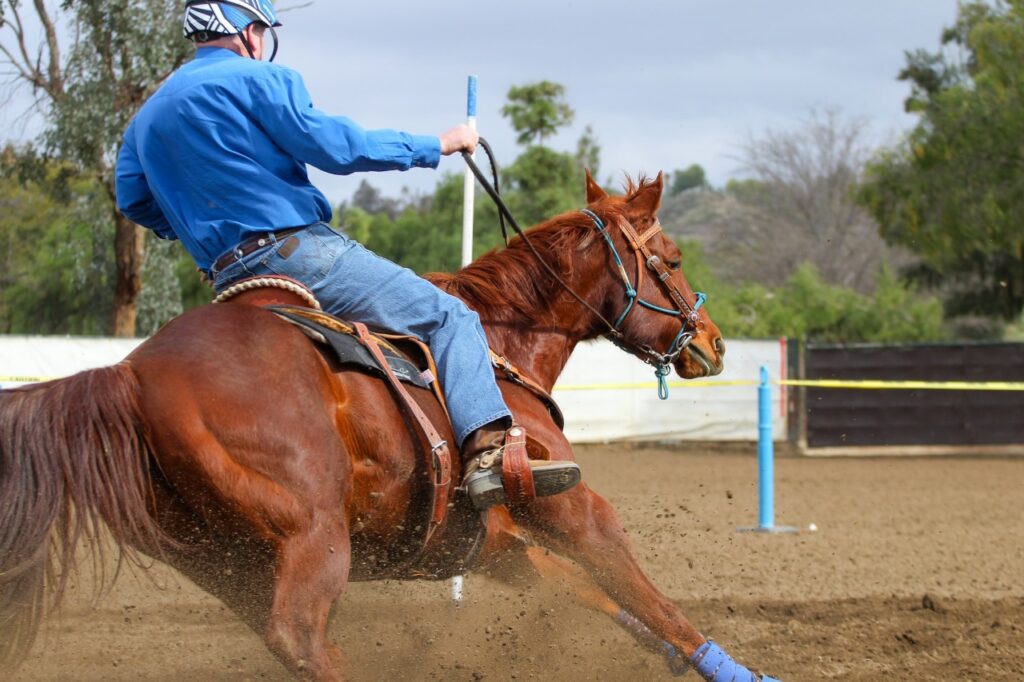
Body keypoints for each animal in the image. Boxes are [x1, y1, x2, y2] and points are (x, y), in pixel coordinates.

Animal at [0, 170, 779, 681]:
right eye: (671, 259)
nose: (714, 343)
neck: (501, 345)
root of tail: (129, 376)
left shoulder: (495, 546)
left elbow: (589, 593)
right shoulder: (569, 504)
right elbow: (644, 589)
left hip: (226, 565)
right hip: (313, 536)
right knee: (302, 637)